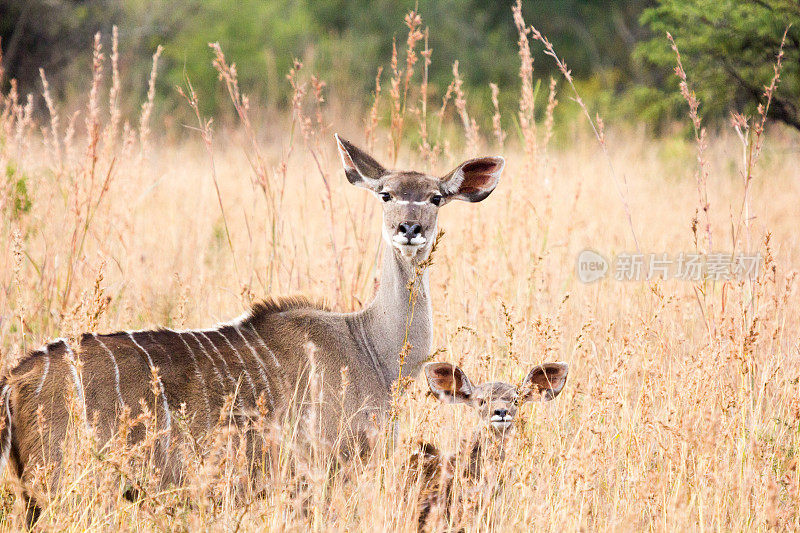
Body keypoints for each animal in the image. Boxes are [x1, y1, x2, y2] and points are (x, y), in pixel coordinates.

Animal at [0, 135, 500, 516]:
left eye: (436, 197)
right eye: (386, 195)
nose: (410, 228)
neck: (373, 349)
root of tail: (16, 379)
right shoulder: (318, 475)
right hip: (68, 487)